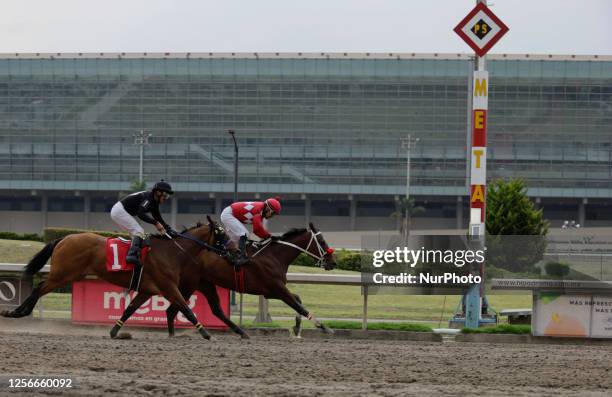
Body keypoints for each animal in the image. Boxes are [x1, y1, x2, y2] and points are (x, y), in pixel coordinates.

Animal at [0, 221, 225, 338]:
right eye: (222, 235)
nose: (230, 251)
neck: (171, 252)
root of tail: (64, 238)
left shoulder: (148, 290)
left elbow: (130, 309)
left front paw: (114, 330)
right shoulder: (168, 287)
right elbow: (186, 308)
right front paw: (205, 332)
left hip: (68, 274)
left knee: (38, 288)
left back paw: (15, 312)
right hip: (62, 275)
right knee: (38, 288)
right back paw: (16, 312)